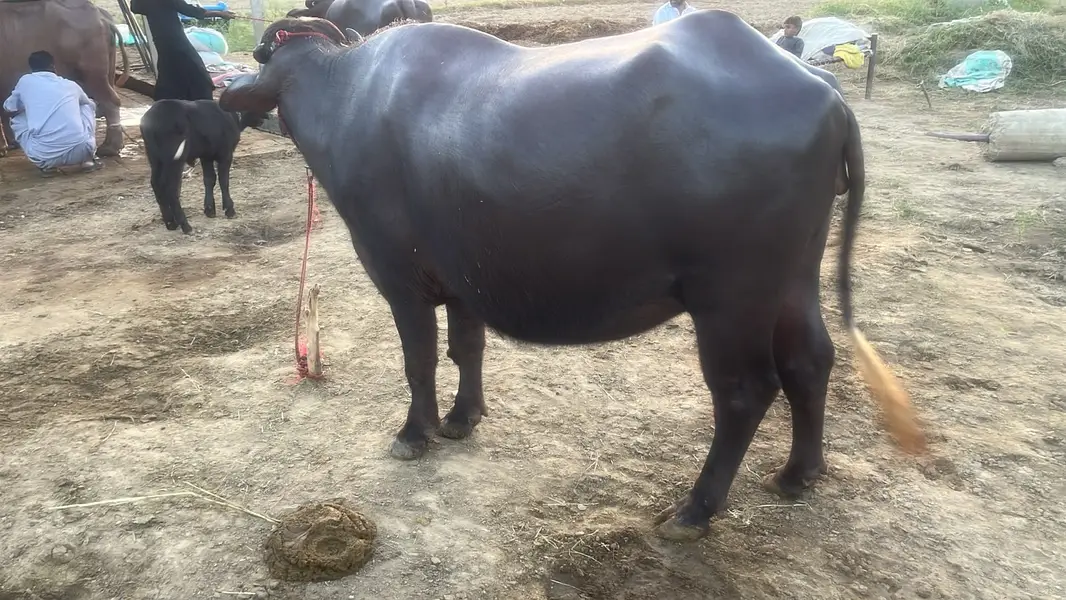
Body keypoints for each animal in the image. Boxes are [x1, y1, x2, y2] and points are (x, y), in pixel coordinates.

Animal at [221, 14, 925, 541]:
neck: (343, 98)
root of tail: (825, 93)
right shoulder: (465, 275)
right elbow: (467, 348)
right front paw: (463, 418)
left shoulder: (400, 277)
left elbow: (418, 360)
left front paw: (414, 433)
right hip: (795, 278)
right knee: (811, 360)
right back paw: (798, 475)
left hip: (732, 295)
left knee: (746, 391)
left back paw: (695, 510)